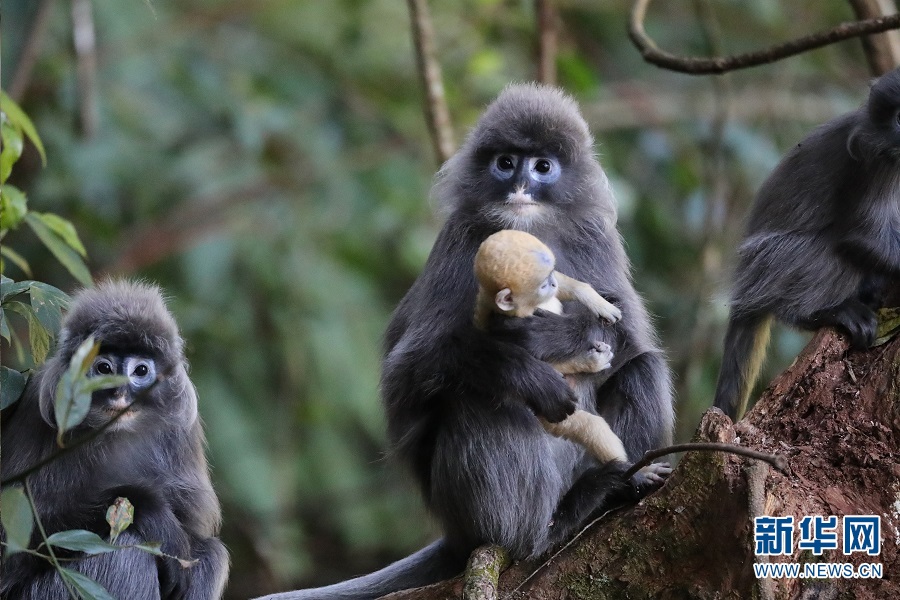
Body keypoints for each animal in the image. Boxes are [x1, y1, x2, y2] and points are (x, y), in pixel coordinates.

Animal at [1, 280, 229, 599]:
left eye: (141, 370)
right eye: (104, 368)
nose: (119, 392)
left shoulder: (182, 430)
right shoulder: (37, 406)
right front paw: (153, 512)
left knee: (210, 553)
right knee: (125, 547)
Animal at [256, 83, 674, 600]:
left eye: (542, 166)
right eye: (505, 162)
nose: (519, 187)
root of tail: (455, 534)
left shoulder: (596, 239)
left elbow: (629, 333)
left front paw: (562, 333)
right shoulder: (462, 240)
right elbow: (405, 377)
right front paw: (528, 368)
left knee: (643, 366)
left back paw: (617, 486)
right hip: (469, 508)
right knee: (478, 400)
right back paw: (556, 523)